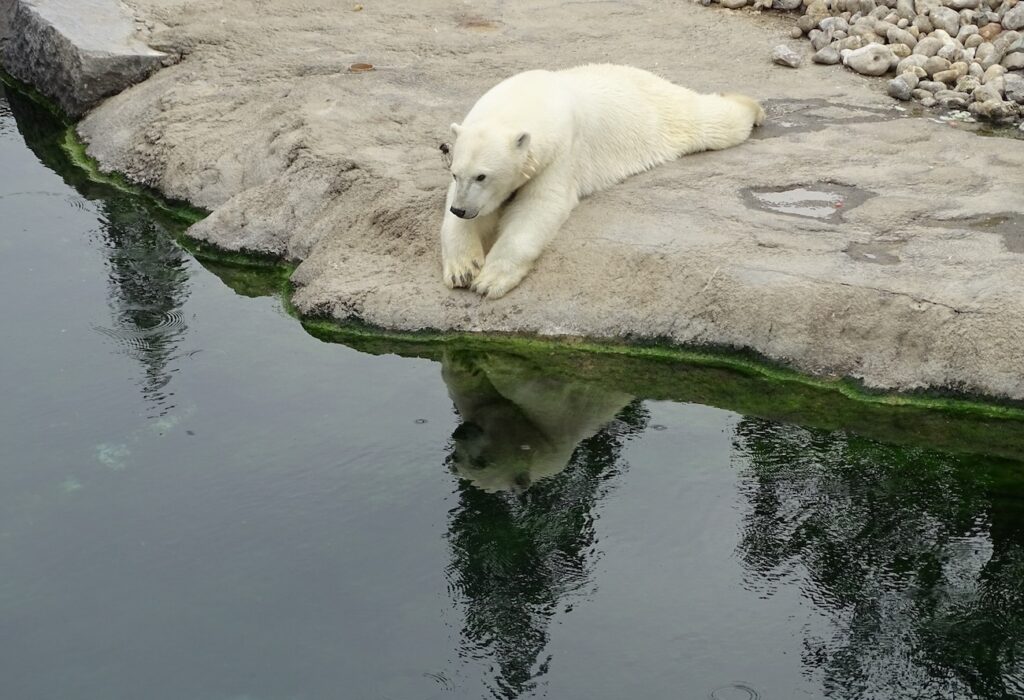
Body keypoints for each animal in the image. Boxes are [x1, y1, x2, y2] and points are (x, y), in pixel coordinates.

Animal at [440, 64, 765, 299]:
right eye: (455, 173)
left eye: (483, 176)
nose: (462, 209)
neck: (527, 97)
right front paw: (463, 268)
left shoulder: (562, 150)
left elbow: (540, 205)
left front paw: (489, 280)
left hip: (665, 115)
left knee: (714, 122)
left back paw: (752, 108)